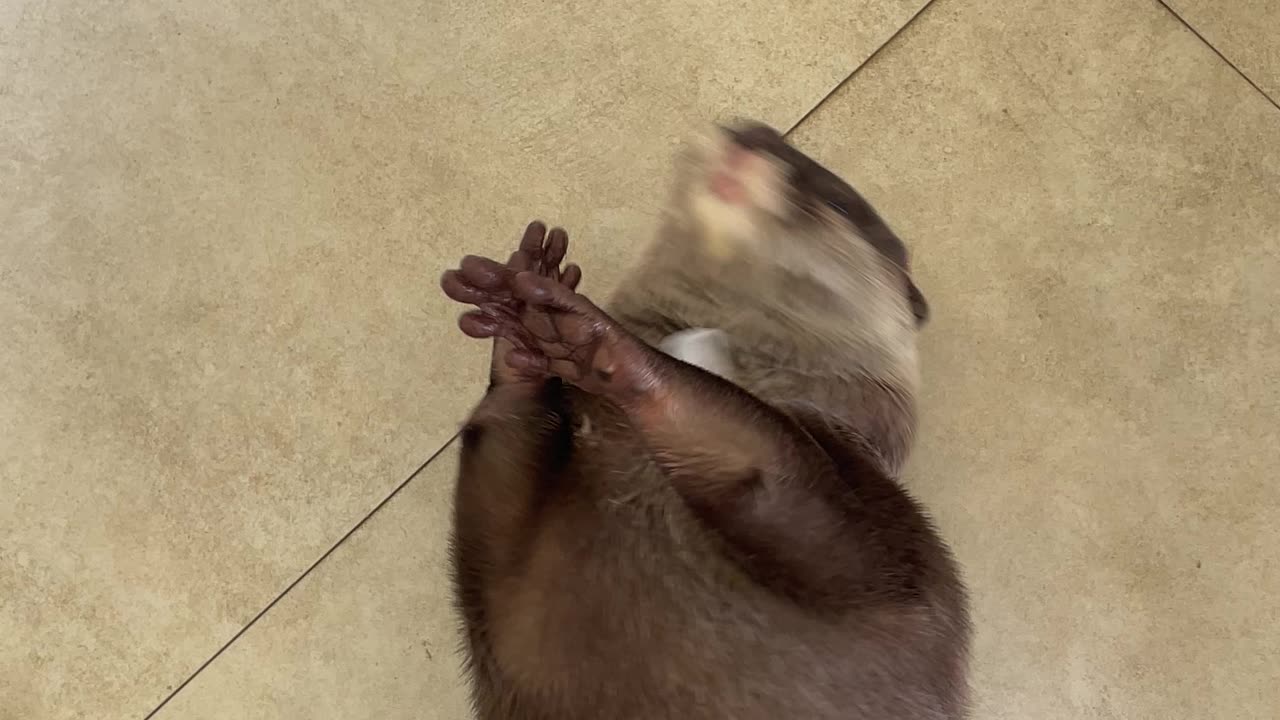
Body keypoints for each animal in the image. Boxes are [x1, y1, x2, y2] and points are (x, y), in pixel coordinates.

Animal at [440, 120, 967, 712]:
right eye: (748, 127)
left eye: (835, 199)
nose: (751, 135)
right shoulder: (517, 615)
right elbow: (495, 517)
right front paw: (521, 314)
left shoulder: (888, 551)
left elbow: (779, 478)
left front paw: (600, 343)